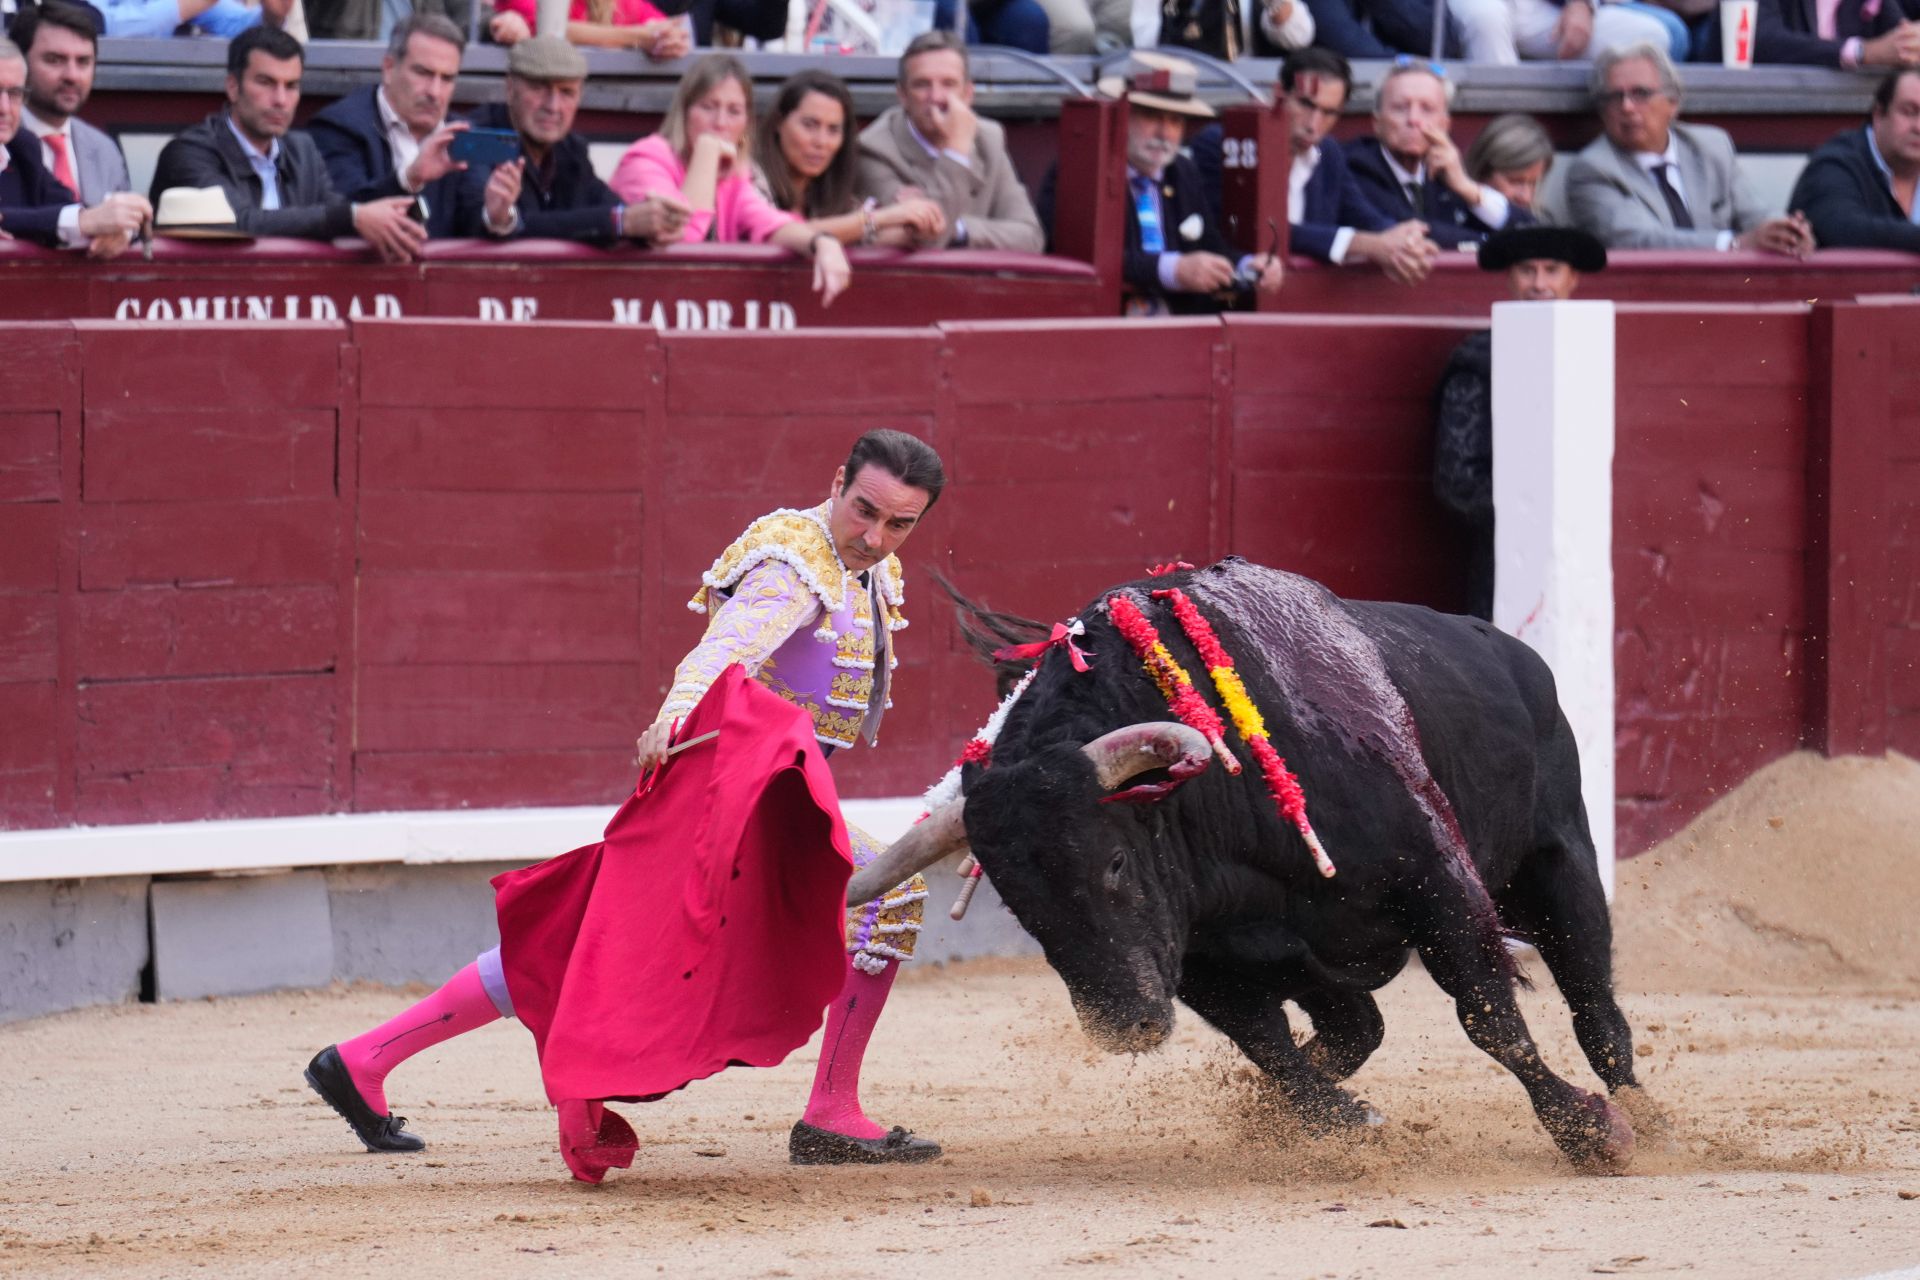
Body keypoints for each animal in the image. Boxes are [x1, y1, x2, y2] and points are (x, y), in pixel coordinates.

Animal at [848, 556, 1643, 1174]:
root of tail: (1513, 652)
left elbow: (1489, 1017)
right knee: (1359, 1028)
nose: (1124, 1024)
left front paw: (1589, 1130)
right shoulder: (1199, 960)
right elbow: (1272, 1048)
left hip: (1558, 862)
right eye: (1017, 904)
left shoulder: (1438, 887)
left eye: (1114, 863)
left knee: (1594, 1004)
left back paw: (1643, 1112)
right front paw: (1338, 1120)